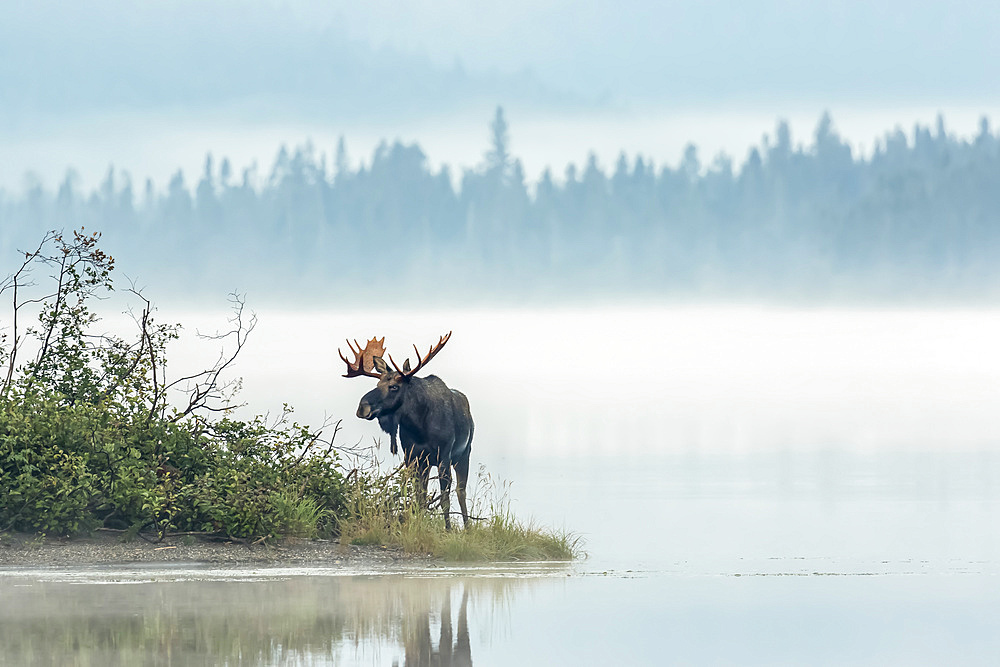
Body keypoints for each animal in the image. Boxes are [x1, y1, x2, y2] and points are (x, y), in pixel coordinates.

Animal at [340, 334, 472, 532]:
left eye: (394, 386)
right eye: (378, 383)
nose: (362, 407)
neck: (420, 427)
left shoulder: (444, 455)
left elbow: (444, 499)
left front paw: (448, 530)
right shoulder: (412, 457)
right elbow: (418, 498)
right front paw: (416, 526)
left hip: (464, 454)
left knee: (461, 491)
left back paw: (468, 527)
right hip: (428, 463)